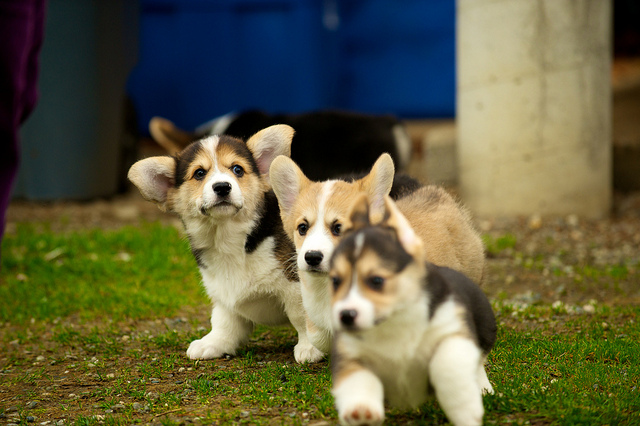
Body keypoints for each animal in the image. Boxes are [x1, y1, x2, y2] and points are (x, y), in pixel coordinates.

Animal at [128, 125, 324, 364]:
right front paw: (213, 343)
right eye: (199, 173)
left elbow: (301, 316)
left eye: (237, 169)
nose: (222, 187)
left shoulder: (295, 286)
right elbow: (223, 321)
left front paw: (310, 348)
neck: (228, 239)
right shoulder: (222, 295)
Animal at [328, 196, 498, 426]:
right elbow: (357, 380)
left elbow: (448, 366)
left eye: (376, 280)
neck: (393, 324)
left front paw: (466, 412)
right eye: (336, 281)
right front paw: (361, 410)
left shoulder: (452, 332)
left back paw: (482, 388)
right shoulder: (351, 354)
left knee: (478, 361)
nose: (345, 317)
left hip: (484, 331)